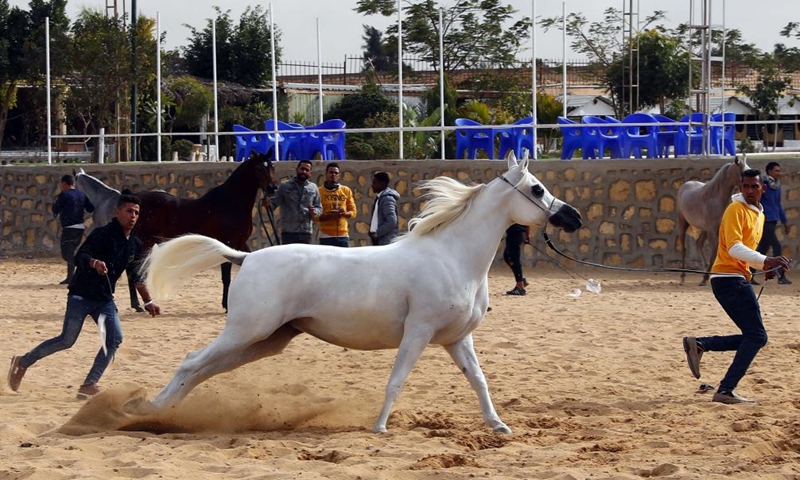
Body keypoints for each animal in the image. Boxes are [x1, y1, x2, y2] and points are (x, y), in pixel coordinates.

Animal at [75, 153, 277, 311]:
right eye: (259, 167)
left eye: (272, 166)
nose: (272, 189)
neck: (230, 203)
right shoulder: (227, 243)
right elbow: (226, 276)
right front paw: (226, 305)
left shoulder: (241, 243)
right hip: (145, 242)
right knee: (133, 270)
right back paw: (140, 305)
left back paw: (138, 305)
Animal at [123, 154, 583, 434]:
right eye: (537, 189)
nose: (573, 217)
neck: (452, 256)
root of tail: (245, 257)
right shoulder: (418, 332)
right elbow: (396, 381)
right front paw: (379, 426)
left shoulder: (456, 338)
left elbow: (480, 381)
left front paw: (499, 426)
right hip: (246, 331)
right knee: (191, 362)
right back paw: (148, 409)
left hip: (266, 340)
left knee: (203, 370)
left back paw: (154, 411)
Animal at [677, 155, 749, 286]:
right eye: (743, 172)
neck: (716, 198)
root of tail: (684, 186)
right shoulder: (712, 231)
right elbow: (714, 253)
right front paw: (705, 278)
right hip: (682, 223)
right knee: (684, 249)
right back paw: (682, 277)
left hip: (704, 229)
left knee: (698, 244)